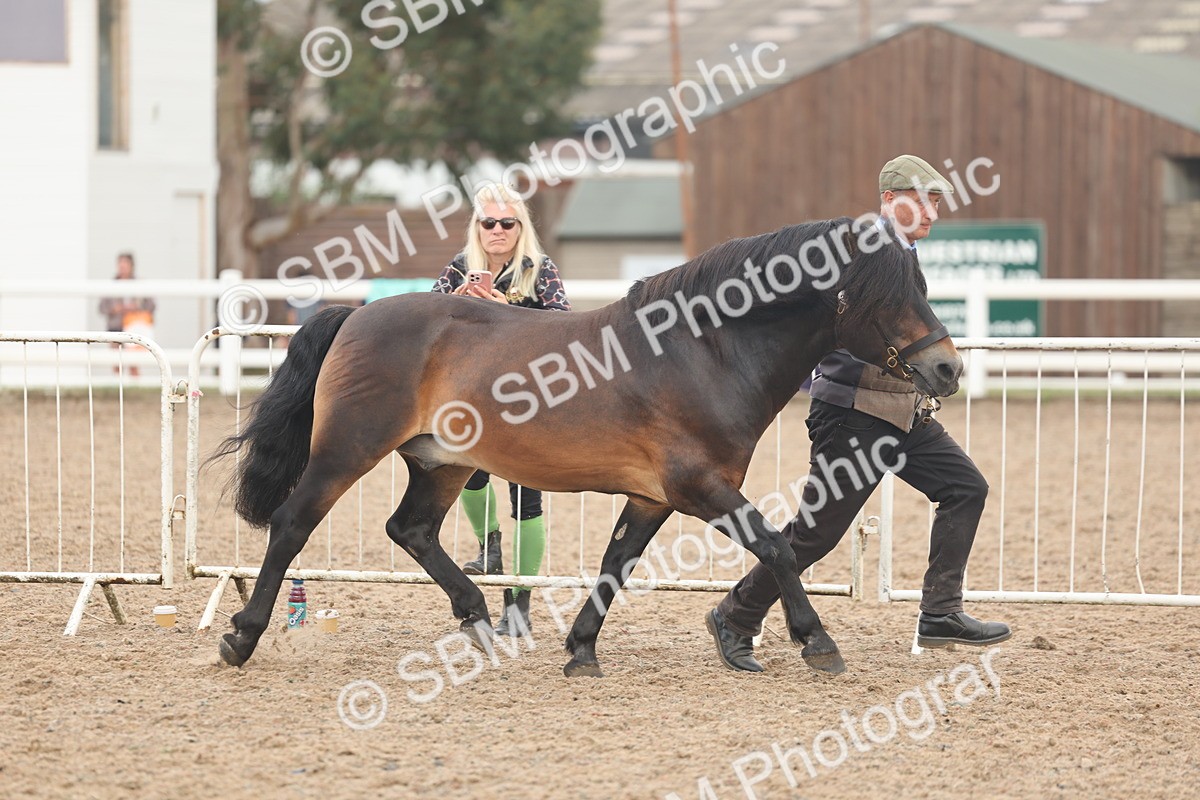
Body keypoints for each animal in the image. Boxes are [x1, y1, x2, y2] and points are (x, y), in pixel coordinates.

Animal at [210, 215, 961, 675]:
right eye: (890, 296)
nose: (948, 369)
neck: (702, 350)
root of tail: (356, 316)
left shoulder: (653, 497)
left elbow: (615, 563)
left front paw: (580, 649)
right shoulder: (701, 487)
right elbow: (775, 546)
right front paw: (818, 641)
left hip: (440, 463)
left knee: (411, 530)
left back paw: (480, 621)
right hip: (347, 451)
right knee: (292, 525)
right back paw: (241, 635)